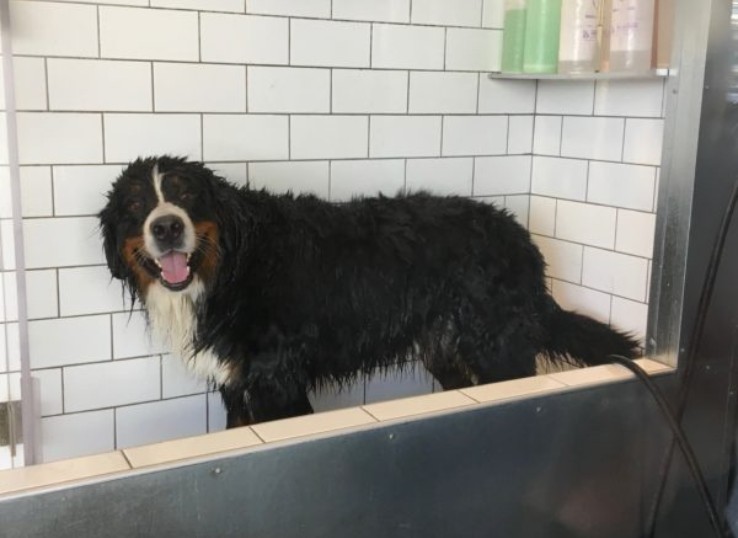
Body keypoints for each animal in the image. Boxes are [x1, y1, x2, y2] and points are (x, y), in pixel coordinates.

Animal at [98, 156, 640, 428]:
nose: (167, 227)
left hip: (498, 348)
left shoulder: (277, 381)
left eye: (187, 195)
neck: (233, 266)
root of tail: (521, 235)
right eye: (136, 204)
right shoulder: (235, 382)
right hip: (445, 349)